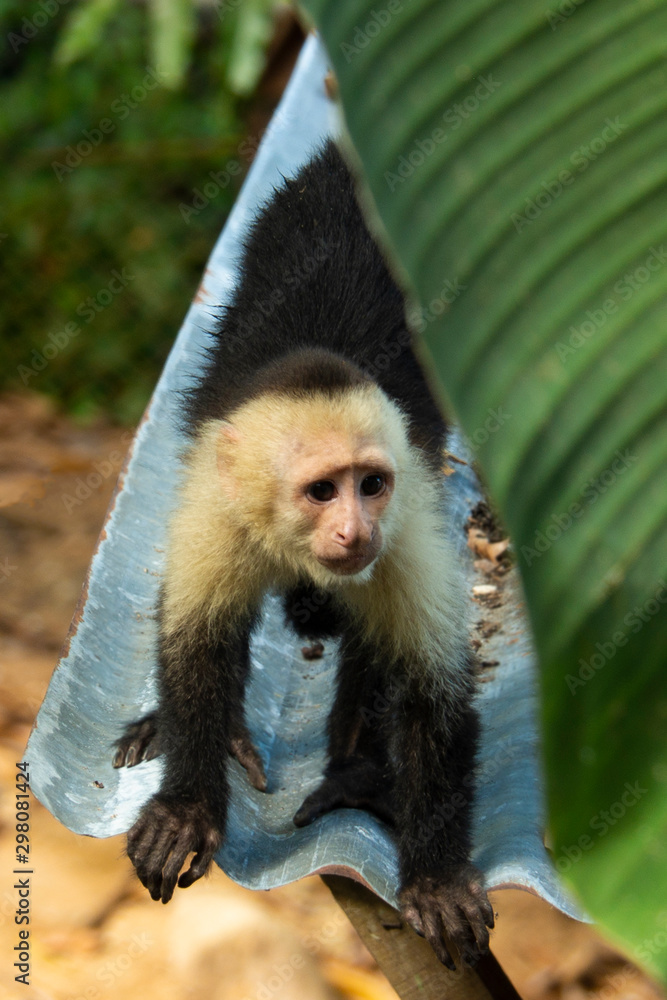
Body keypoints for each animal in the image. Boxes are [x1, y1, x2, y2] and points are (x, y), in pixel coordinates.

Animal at [112, 139, 494, 970]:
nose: (354, 531)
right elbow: (196, 641)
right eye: (322, 491)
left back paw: (354, 774)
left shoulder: (406, 526)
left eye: (370, 484)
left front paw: (435, 873)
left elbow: (430, 691)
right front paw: (189, 802)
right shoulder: (217, 505)